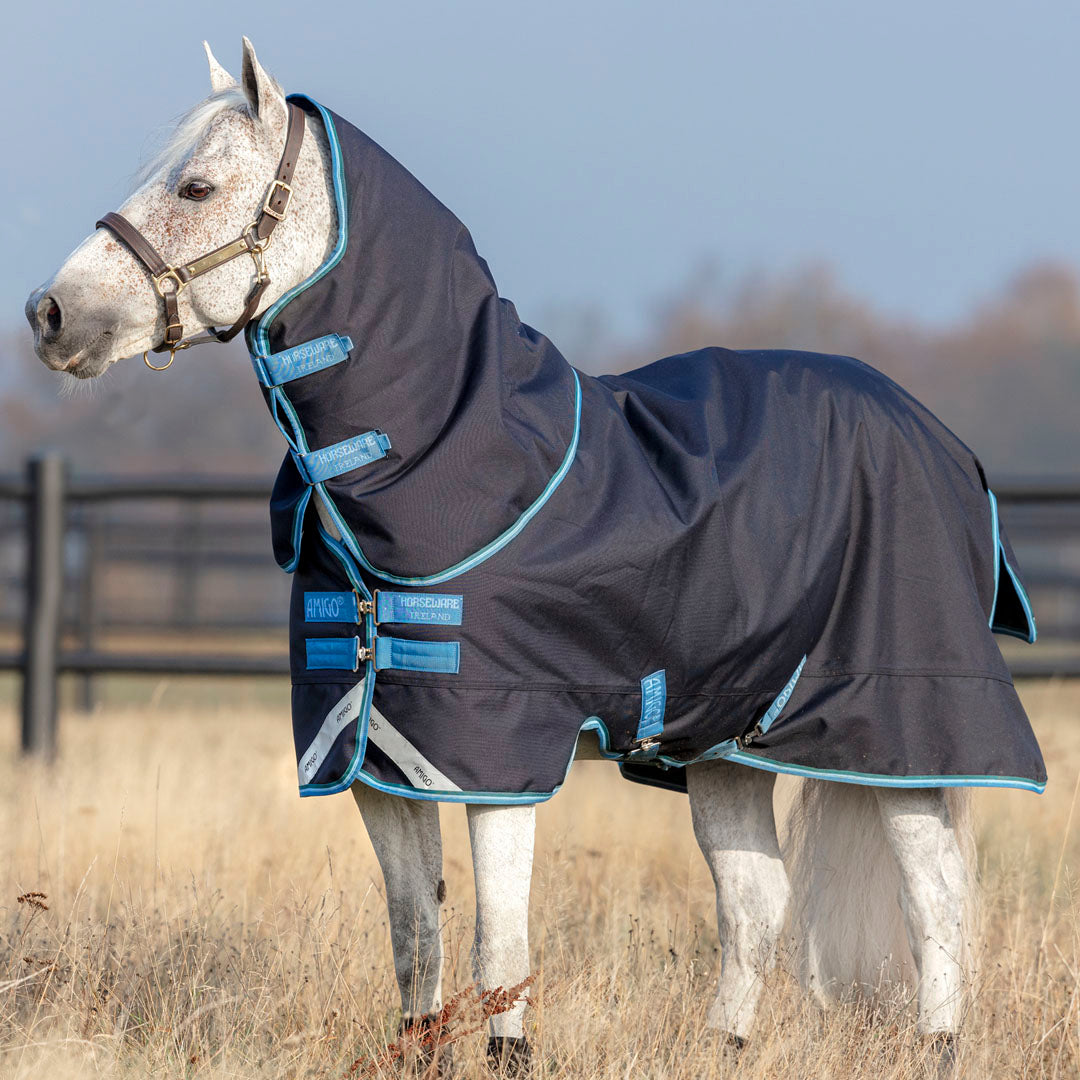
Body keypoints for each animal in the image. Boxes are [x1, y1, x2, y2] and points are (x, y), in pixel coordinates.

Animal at [25, 37, 1044, 1074]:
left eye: (195, 187)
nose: (50, 313)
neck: (461, 460)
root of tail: (939, 438)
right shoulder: (379, 760)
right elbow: (414, 934)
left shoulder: (496, 756)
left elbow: (498, 948)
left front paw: (507, 1053)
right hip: (728, 744)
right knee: (755, 903)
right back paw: (725, 1046)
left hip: (908, 732)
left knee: (936, 898)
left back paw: (939, 1045)